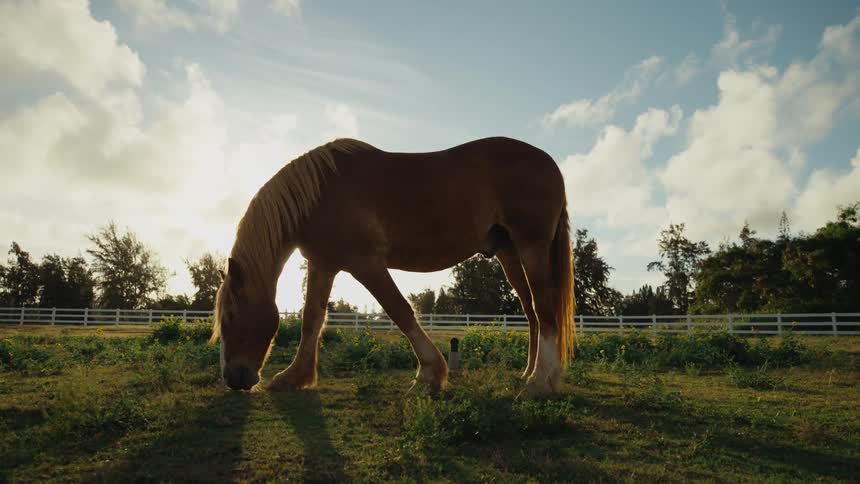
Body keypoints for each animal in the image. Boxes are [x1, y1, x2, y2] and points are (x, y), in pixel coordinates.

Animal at [210, 136, 575, 394]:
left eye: (229, 316)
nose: (233, 378)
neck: (318, 194)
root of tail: (549, 163)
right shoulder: (323, 264)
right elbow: (311, 320)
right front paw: (293, 377)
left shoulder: (366, 263)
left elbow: (399, 310)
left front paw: (430, 374)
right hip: (509, 254)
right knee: (531, 313)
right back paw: (528, 373)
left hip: (531, 247)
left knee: (544, 308)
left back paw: (540, 382)